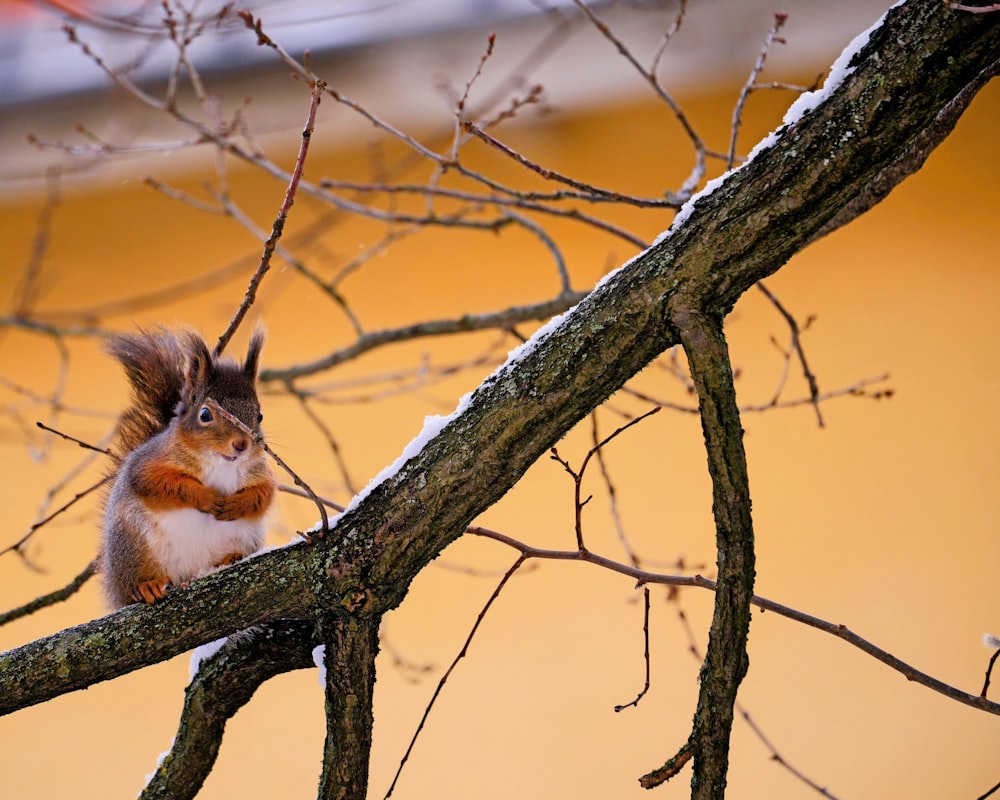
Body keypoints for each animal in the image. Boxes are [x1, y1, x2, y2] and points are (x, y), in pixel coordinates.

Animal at [99, 324, 276, 608]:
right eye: (205, 414)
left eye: (259, 415)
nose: (242, 444)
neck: (219, 463)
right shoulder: (148, 464)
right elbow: (160, 484)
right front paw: (206, 497)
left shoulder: (260, 472)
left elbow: (264, 494)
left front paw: (235, 505)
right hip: (132, 547)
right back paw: (147, 585)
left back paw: (230, 558)